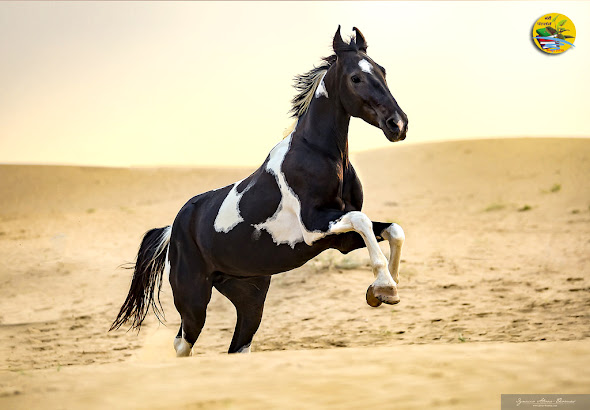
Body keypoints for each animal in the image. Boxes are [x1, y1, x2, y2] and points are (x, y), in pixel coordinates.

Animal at [113, 28, 412, 356]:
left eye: (382, 71)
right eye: (356, 78)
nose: (398, 125)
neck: (319, 154)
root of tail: (172, 230)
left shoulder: (340, 239)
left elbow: (392, 230)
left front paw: (384, 287)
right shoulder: (315, 227)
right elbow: (363, 221)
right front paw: (385, 287)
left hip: (249, 295)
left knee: (237, 346)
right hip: (193, 297)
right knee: (183, 342)